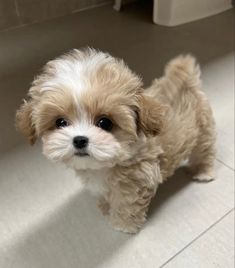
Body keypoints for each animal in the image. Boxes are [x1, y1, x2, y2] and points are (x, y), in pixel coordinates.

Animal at [15, 49, 216, 233]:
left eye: (105, 123)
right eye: (60, 122)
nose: (79, 139)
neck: (105, 165)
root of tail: (185, 80)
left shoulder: (135, 183)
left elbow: (126, 206)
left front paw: (123, 224)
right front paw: (105, 207)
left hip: (203, 131)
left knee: (204, 152)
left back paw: (203, 172)